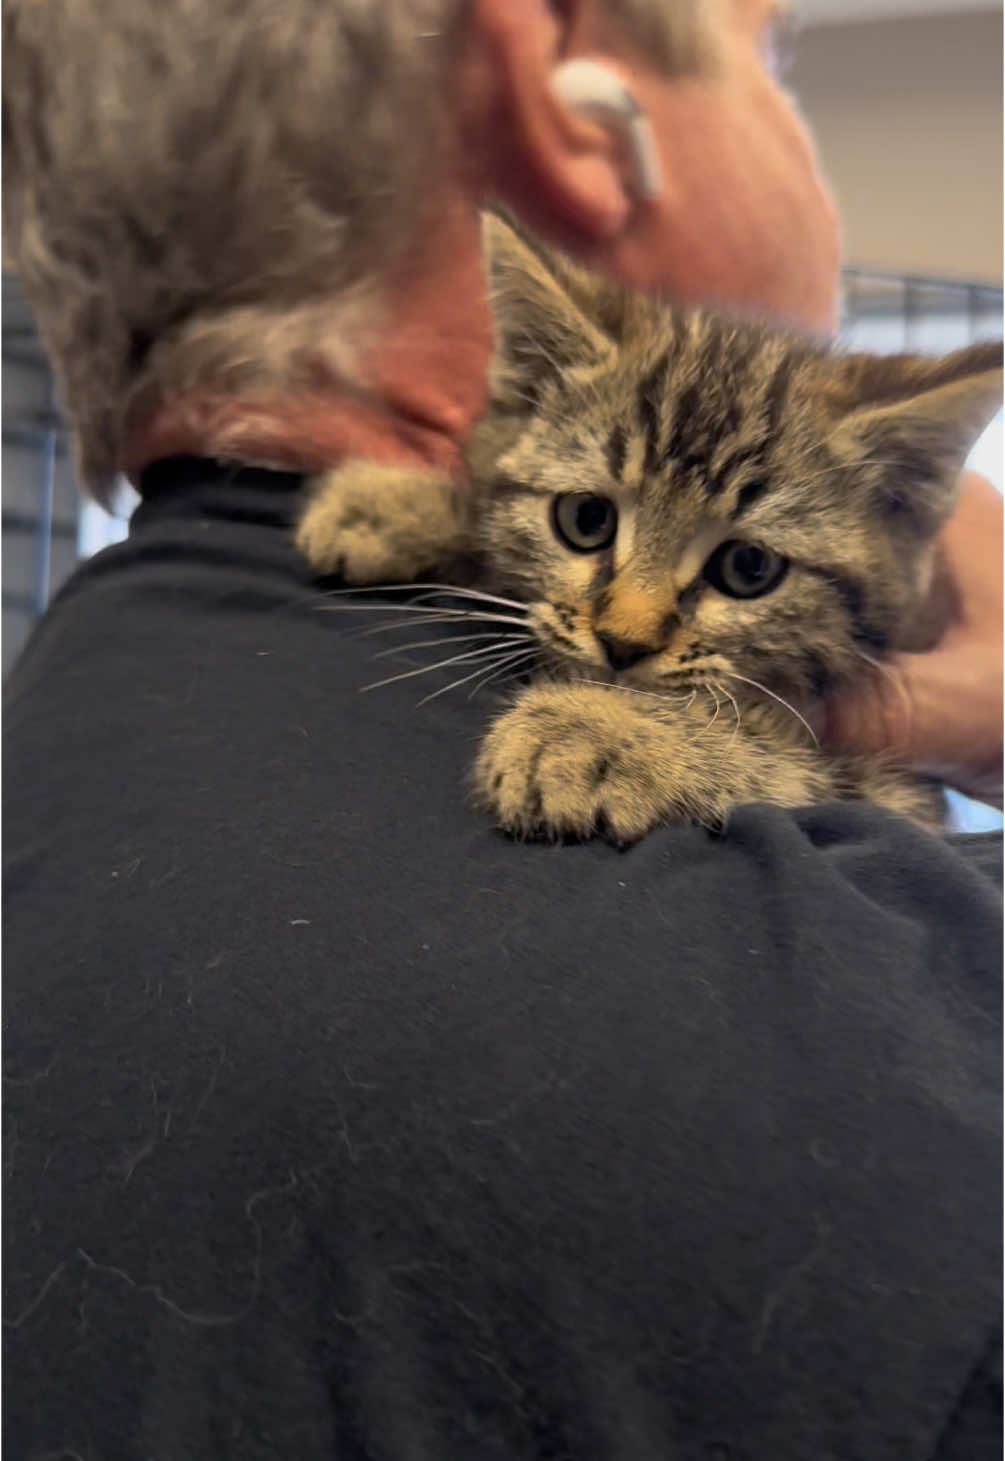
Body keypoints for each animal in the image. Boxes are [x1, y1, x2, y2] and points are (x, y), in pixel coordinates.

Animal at [295, 211, 999, 841]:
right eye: (586, 519)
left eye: (748, 568)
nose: (622, 644)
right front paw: (390, 505)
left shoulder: (903, 795)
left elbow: (792, 763)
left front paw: (597, 731)